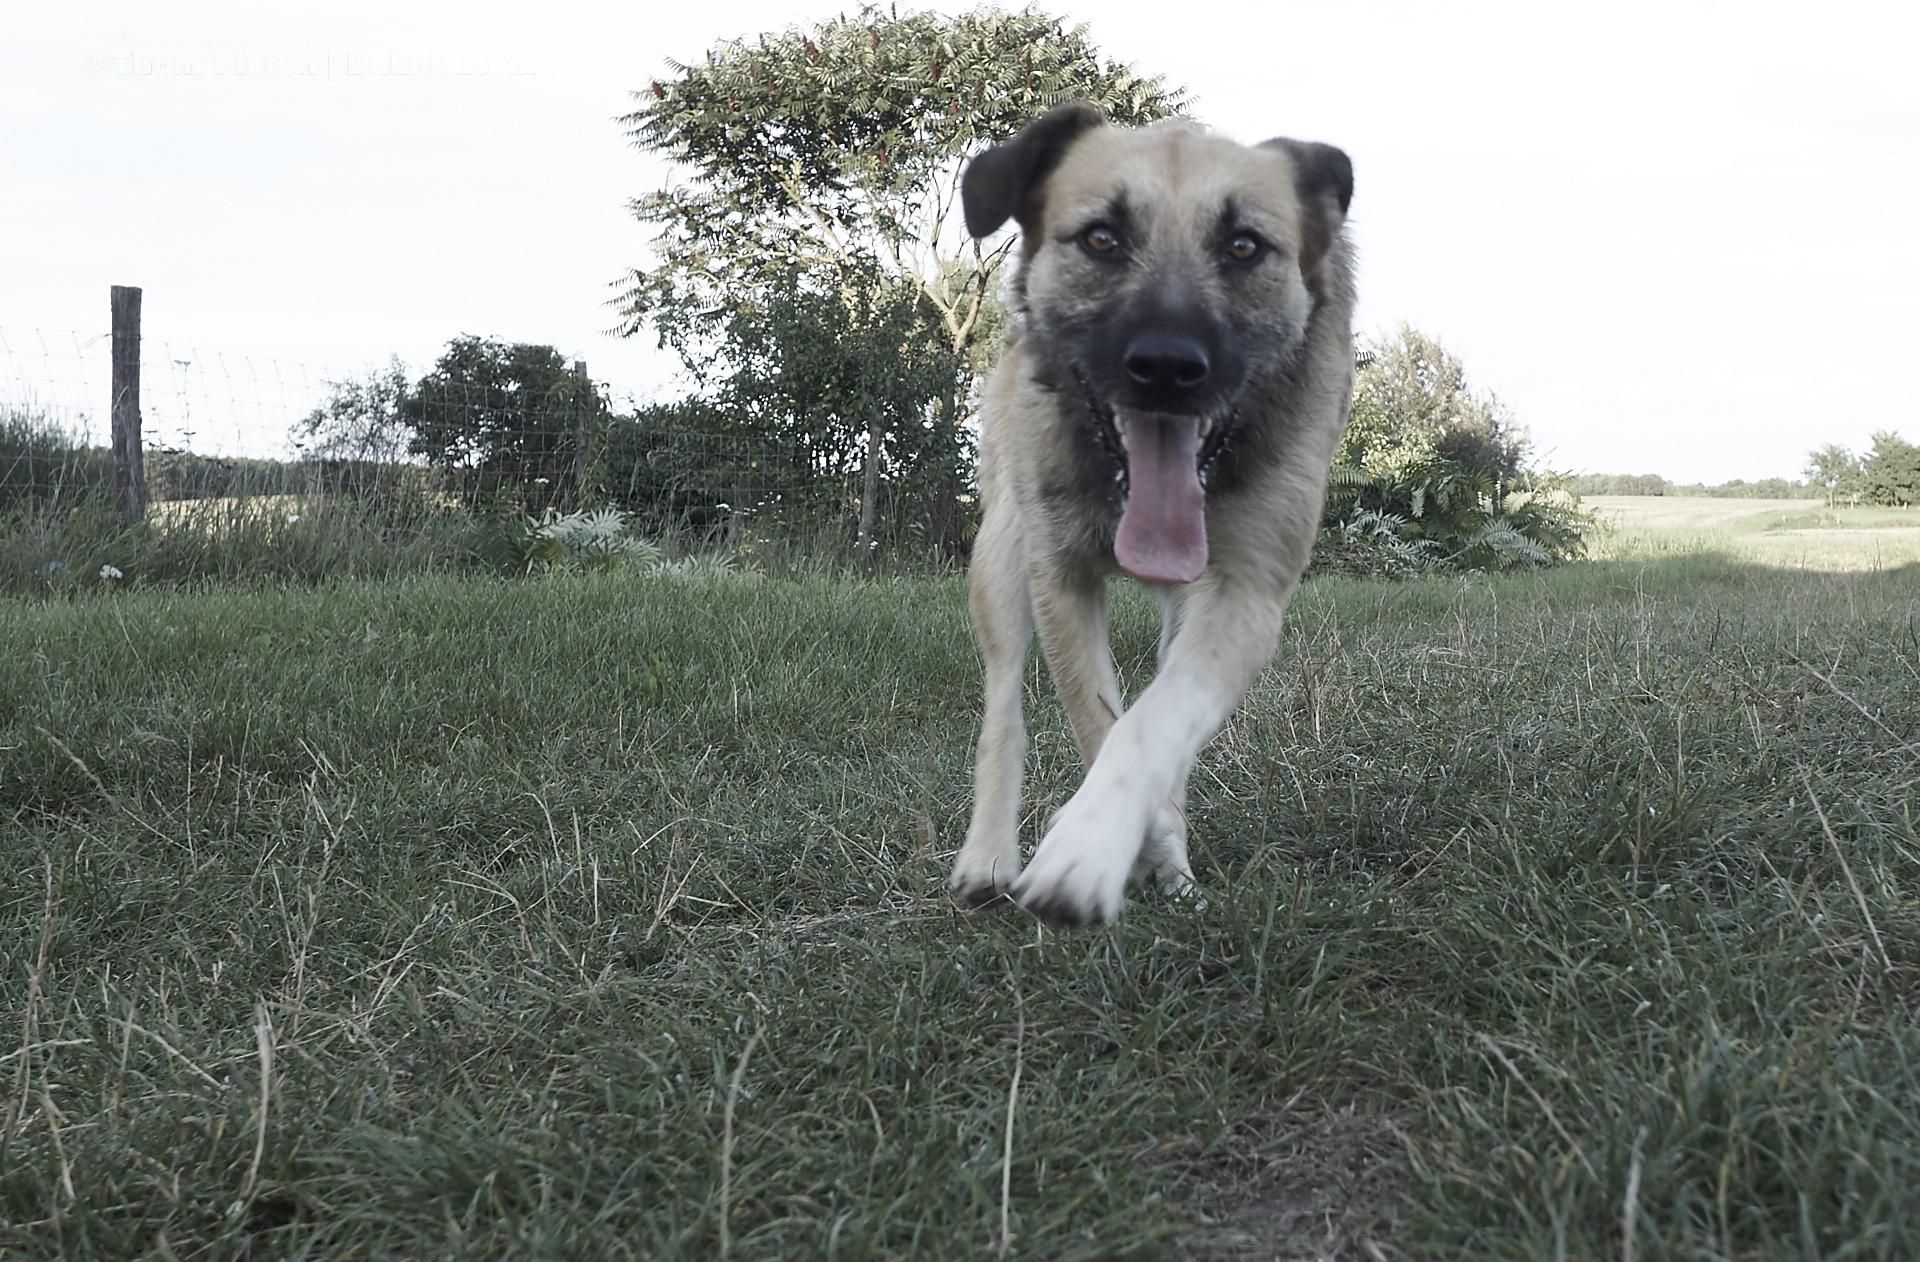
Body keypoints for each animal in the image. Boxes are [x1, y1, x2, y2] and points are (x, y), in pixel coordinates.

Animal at [952, 103, 1359, 922]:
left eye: (1244, 246)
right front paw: (1127, 851)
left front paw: (1103, 847)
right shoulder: (1062, 576)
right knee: (1003, 700)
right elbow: (1098, 722)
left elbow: (1156, 722)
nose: (1168, 368)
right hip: (1003, 555)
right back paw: (988, 856)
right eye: (1101, 238)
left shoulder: (1246, 592)